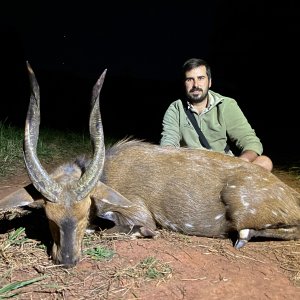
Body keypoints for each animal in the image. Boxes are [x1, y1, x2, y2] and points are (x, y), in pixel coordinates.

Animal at [0, 62, 300, 268]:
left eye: (84, 214)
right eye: (49, 217)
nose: (68, 260)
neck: (107, 173)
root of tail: (291, 196)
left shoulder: (137, 213)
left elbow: (128, 229)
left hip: (240, 207)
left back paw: (242, 237)